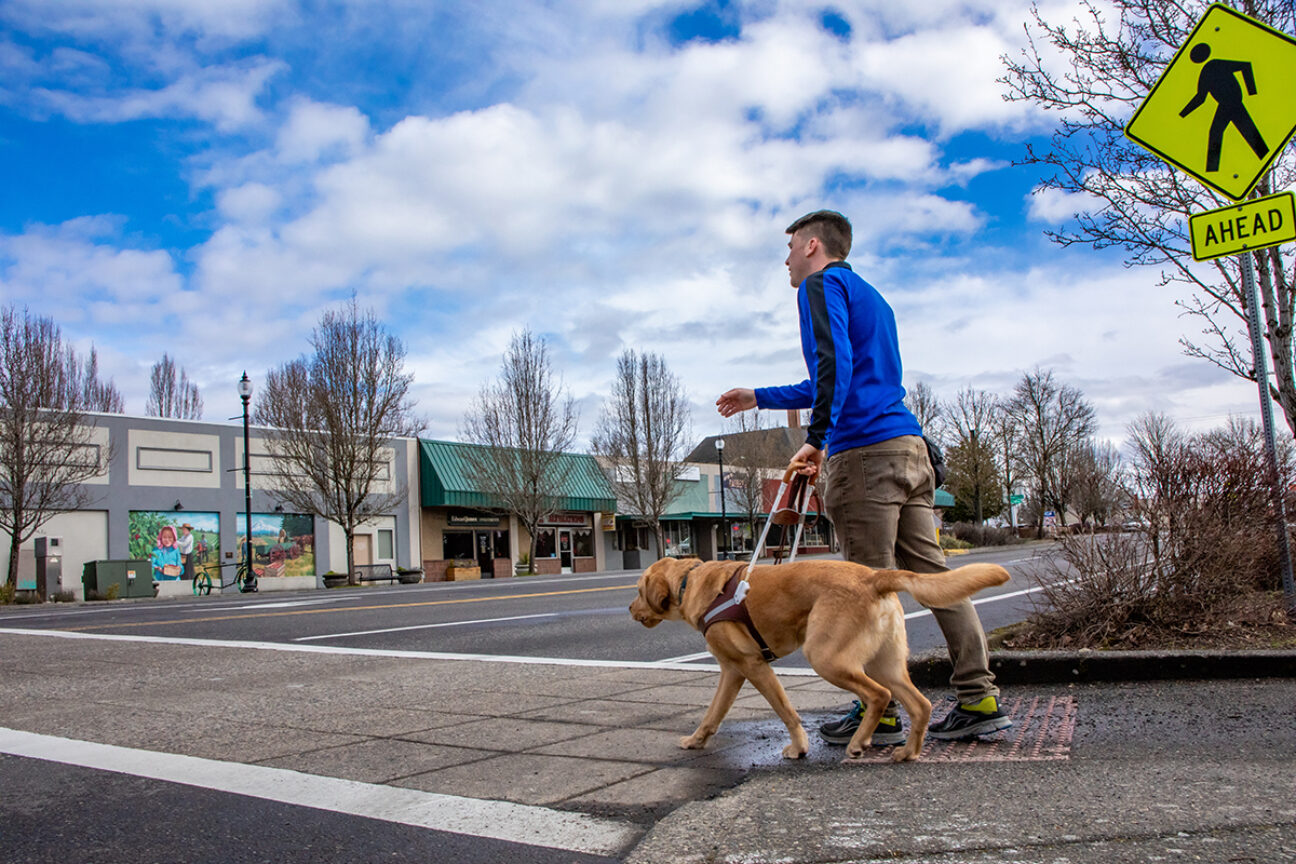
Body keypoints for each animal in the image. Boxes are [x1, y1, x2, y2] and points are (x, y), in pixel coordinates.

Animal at [632, 557, 1005, 761]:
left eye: (637, 591)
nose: (630, 609)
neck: (688, 583)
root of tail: (875, 576)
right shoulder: (732, 671)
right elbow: (712, 715)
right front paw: (696, 740)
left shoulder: (754, 666)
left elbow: (787, 712)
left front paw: (798, 747)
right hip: (884, 664)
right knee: (920, 704)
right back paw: (908, 752)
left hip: (826, 657)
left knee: (878, 696)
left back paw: (858, 742)